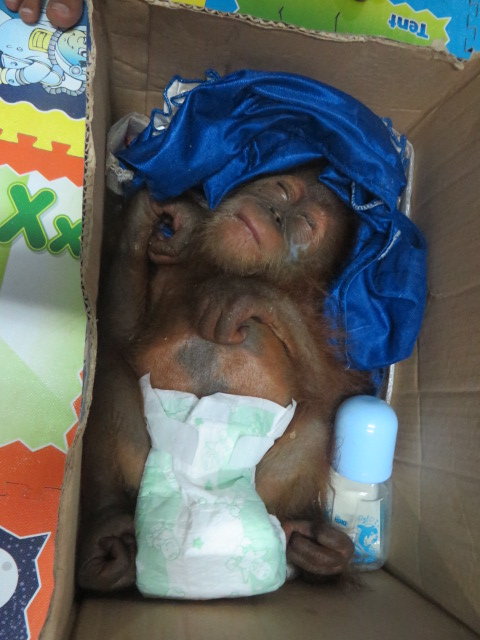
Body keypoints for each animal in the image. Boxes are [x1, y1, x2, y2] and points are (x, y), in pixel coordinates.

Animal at [77, 163, 370, 593]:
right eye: (281, 190)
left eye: (304, 226)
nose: (275, 214)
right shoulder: (167, 273)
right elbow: (118, 334)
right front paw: (153, 214)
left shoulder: (320, 313)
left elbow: (330, 387)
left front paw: (245, 294)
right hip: (143, 464)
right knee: (110, 375)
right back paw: (109, 537)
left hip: (259, 487)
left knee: (318, 423)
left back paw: (315, 548)